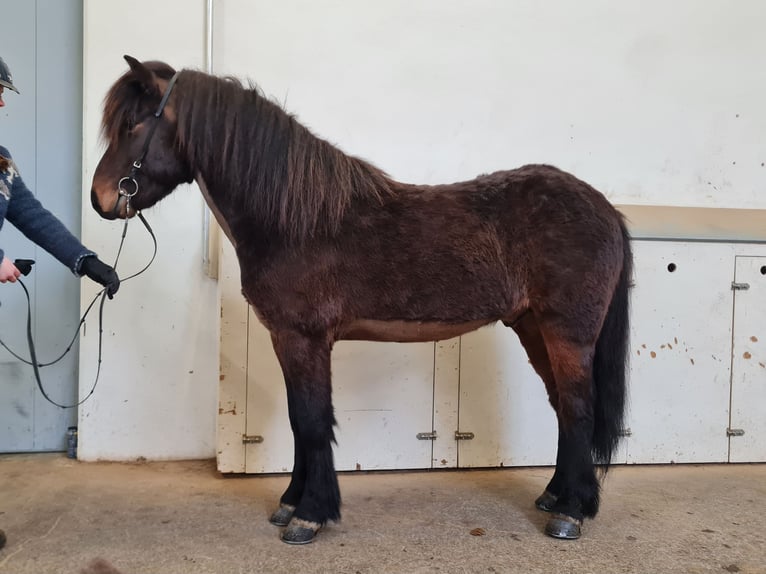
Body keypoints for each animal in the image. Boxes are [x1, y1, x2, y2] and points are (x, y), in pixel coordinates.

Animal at [90, 55, 633, 545]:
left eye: (134, 124)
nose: (100, 199)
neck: (294, 218)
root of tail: (604, 207)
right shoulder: (288, 339)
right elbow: (299, 420)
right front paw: (290, 503)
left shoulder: (304, 338)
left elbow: (312, 420)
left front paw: (309, 516)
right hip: (532, 326)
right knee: (563, 407)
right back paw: (555, 497)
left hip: (567, 331)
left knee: (579, 409)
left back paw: (571, 515)